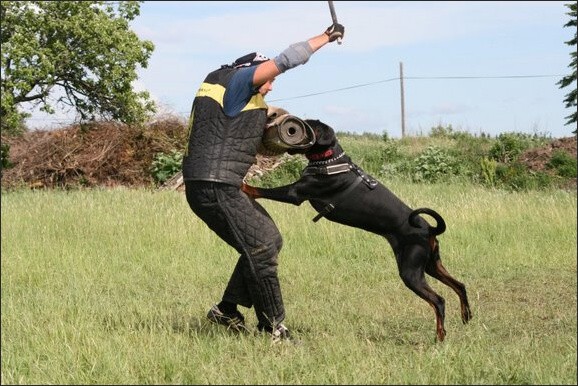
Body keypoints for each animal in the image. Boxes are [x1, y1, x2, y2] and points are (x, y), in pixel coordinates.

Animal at [241, 118, 470, 340]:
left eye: (307, 126)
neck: (329, 160)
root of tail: (428, 229)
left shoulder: (295, 193)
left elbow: (262, 190)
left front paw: (245, 186)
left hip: (411, 271)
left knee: (438, 300)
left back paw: (440, 336)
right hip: (431, 264)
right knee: (460, 285)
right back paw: (466, 315)